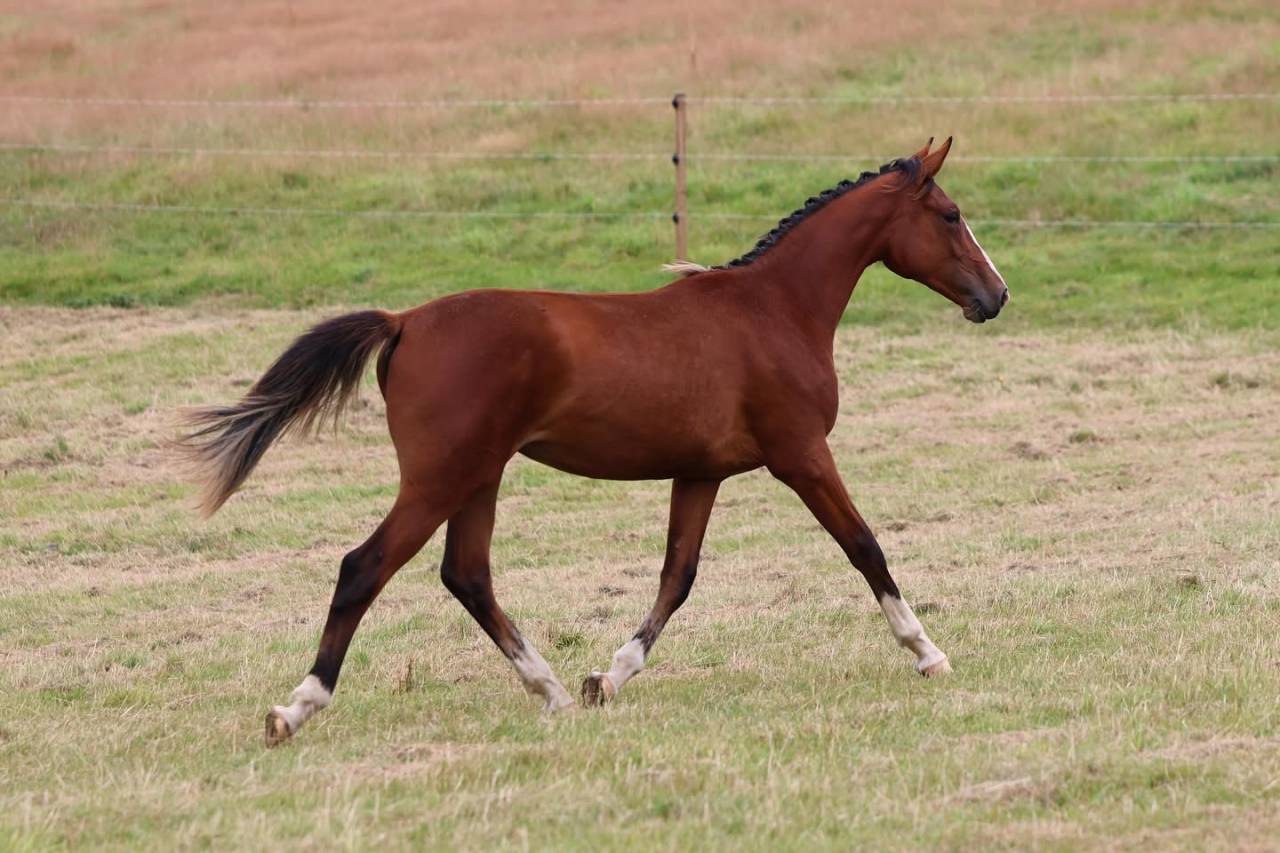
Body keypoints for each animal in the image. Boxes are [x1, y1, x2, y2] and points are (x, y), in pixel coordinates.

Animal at [179, 137, 1008, 747]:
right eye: (951, 214)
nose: (995, 296)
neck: (773, 310)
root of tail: (405, 320)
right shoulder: (800, 455)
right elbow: (865, 545)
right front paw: (929, 652)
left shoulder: (700, 473)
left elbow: (677, 576)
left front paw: (606, 677)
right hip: (441, 476)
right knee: (365, 567)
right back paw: (294, 708)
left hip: (478, 476)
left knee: (466, 573)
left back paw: (549, 688)